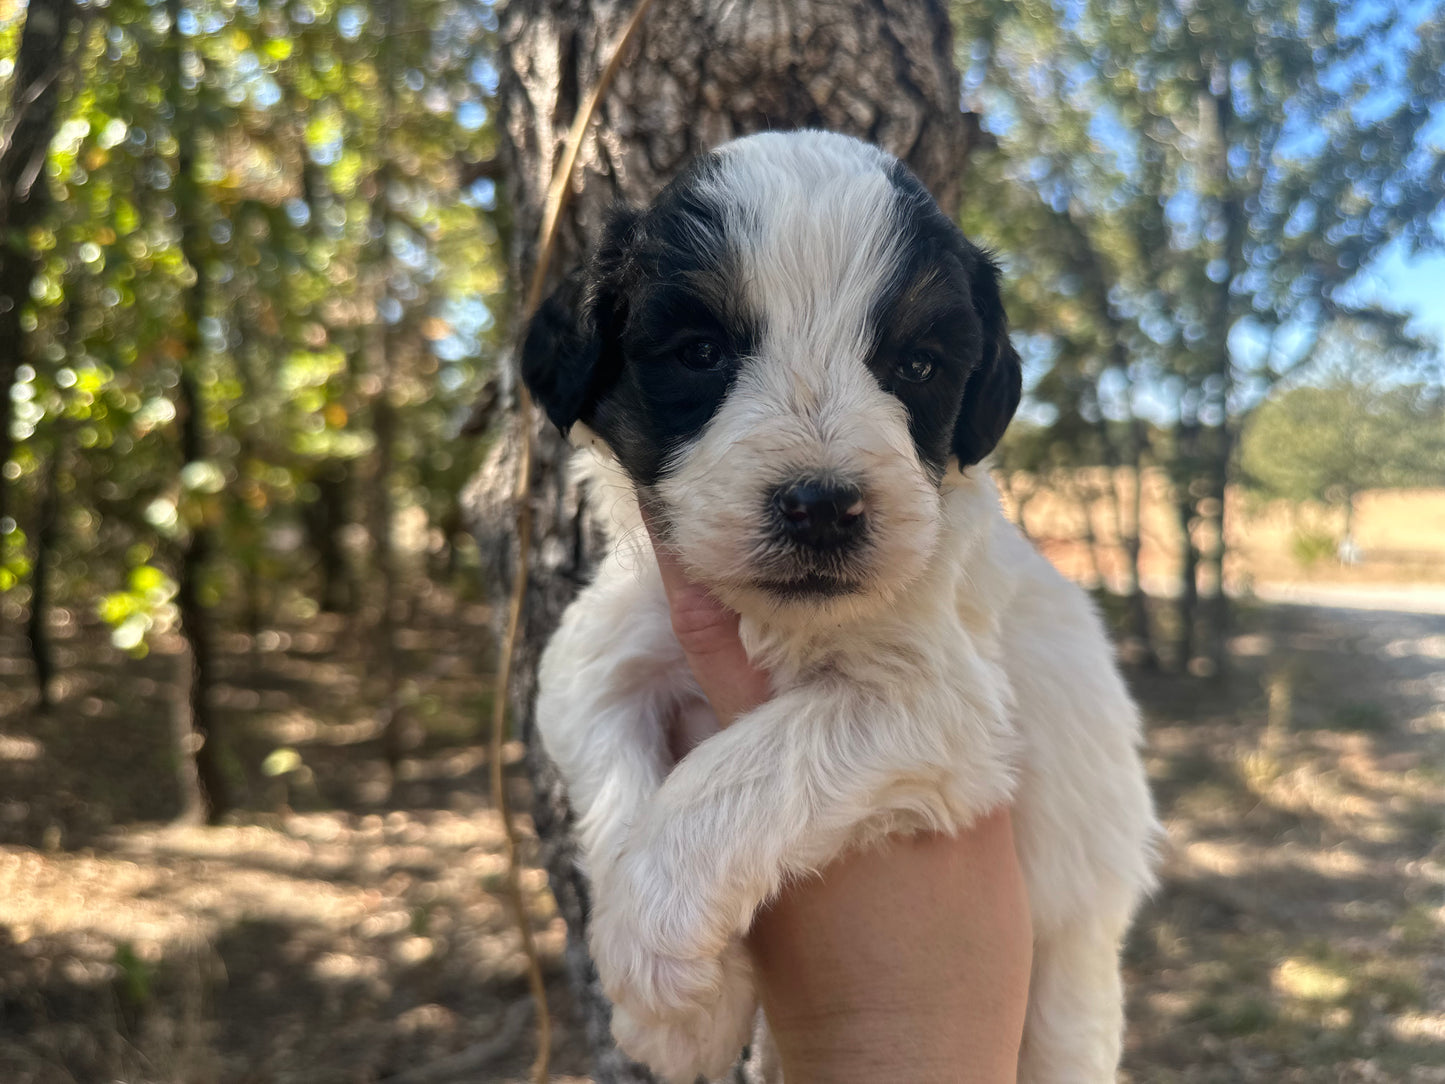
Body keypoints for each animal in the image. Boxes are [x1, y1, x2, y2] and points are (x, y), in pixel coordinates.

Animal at [520, 133, 1161, 1084]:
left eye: (917, 366)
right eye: (700, 352)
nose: (821, 506)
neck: (776, 620)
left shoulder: (939, 703)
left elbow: (737, 771)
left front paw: (657, 965)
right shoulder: (594, 651)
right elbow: (615, 780)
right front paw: (694, 1009)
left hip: (1066, 1002)